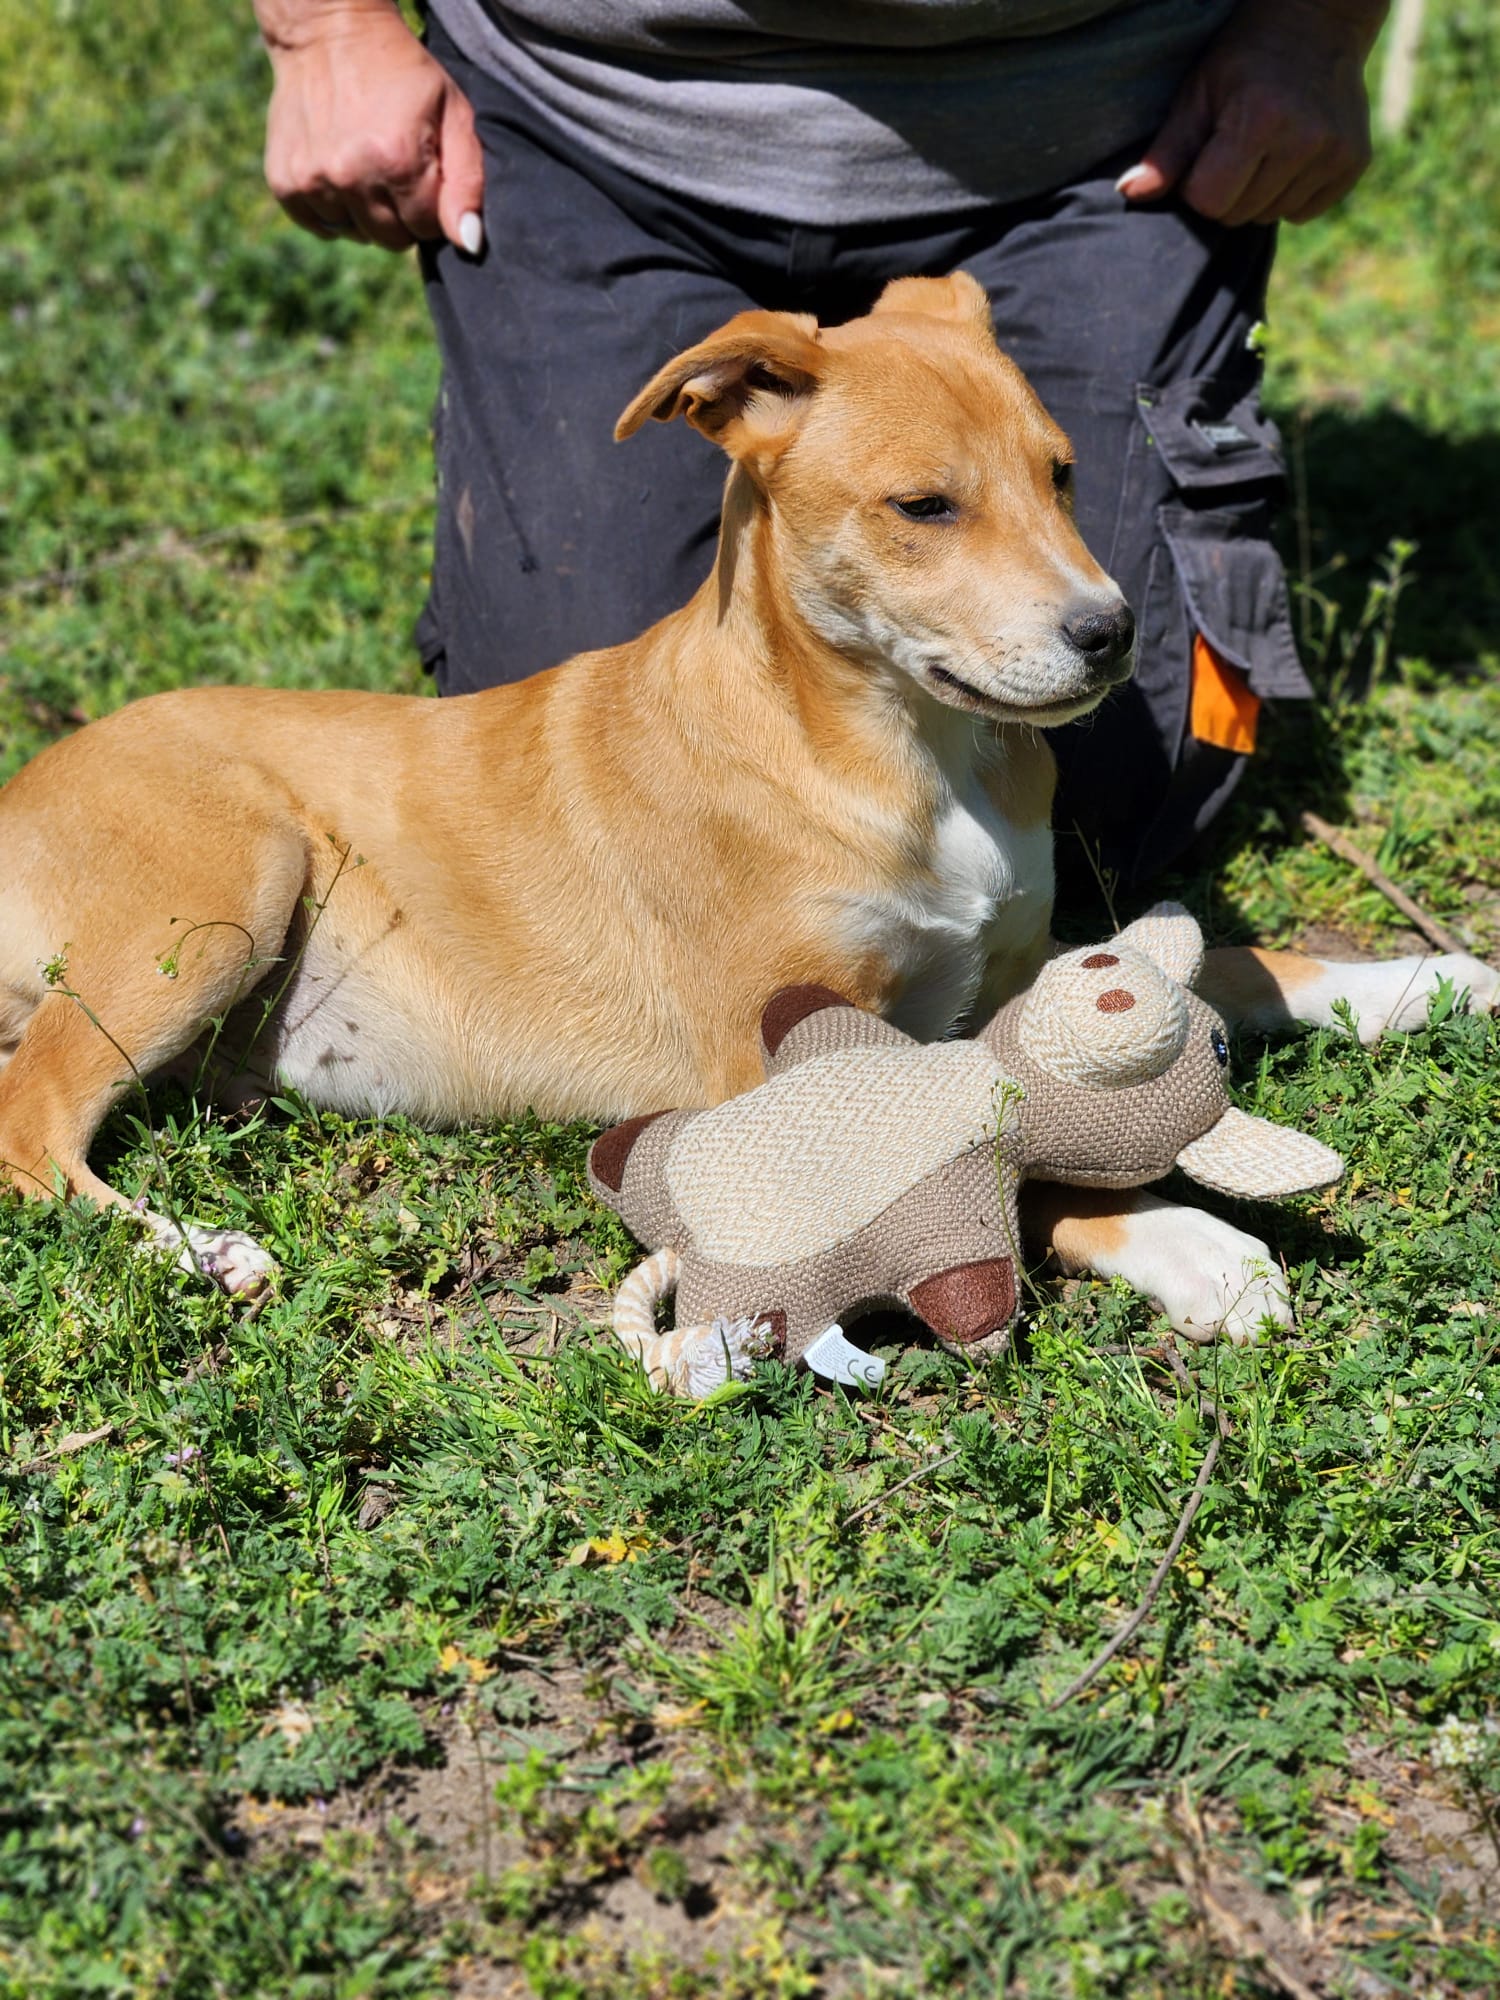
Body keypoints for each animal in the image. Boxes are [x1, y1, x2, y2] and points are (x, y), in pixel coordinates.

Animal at [1, 273, 1491, 1334]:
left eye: (1060, 471)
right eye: (923, 505)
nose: (1112, 634)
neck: (901, 750)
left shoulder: (1021, 957)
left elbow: (1223, 962)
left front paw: (1431, 979)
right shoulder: (770, 1071)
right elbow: (992, 1155)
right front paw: (1196, 1246)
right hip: (226, 883)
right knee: (30, 1123)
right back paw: (199, 1251)